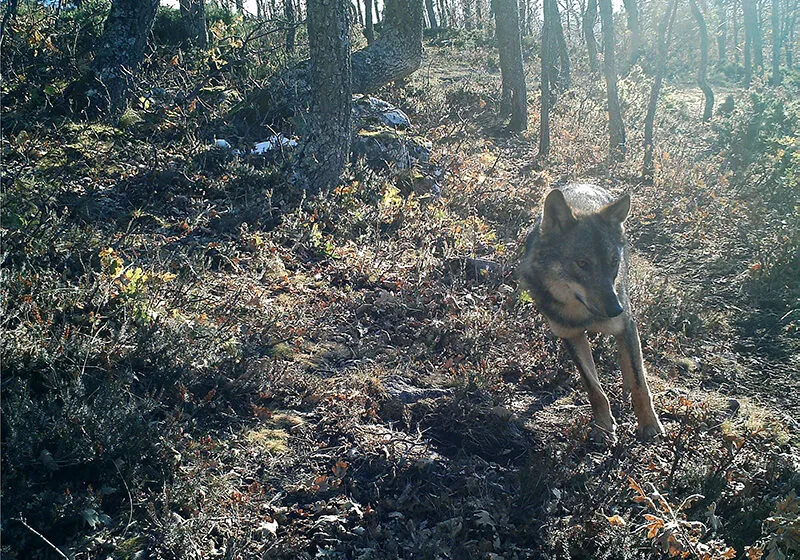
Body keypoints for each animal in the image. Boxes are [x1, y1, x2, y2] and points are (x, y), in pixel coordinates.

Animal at [519, 183, 664, 443]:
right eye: (582, 263)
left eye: (613, 262)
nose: (615, 309)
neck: (582, 314)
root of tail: (586, 183)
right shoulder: (570, 336)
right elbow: (594, 388)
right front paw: (604, 428)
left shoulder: (626, 324)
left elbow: (640, 383)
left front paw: (649, 425)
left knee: (631, 363)